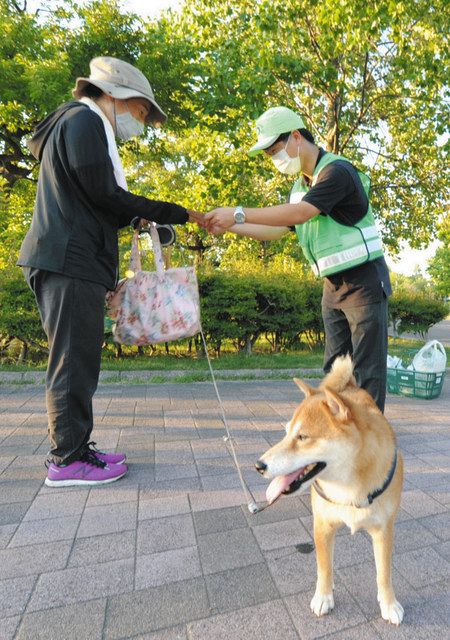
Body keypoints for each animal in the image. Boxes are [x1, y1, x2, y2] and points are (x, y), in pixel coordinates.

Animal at [255, 356, 406, 624]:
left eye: (303, 437)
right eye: (286, 433)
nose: (259, 466)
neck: (349, 486)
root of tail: (349, 386)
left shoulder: (384, 529)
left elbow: (384, 572)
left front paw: (389, 604)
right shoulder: (323, 525)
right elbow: (324, 567)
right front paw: (324, 597)